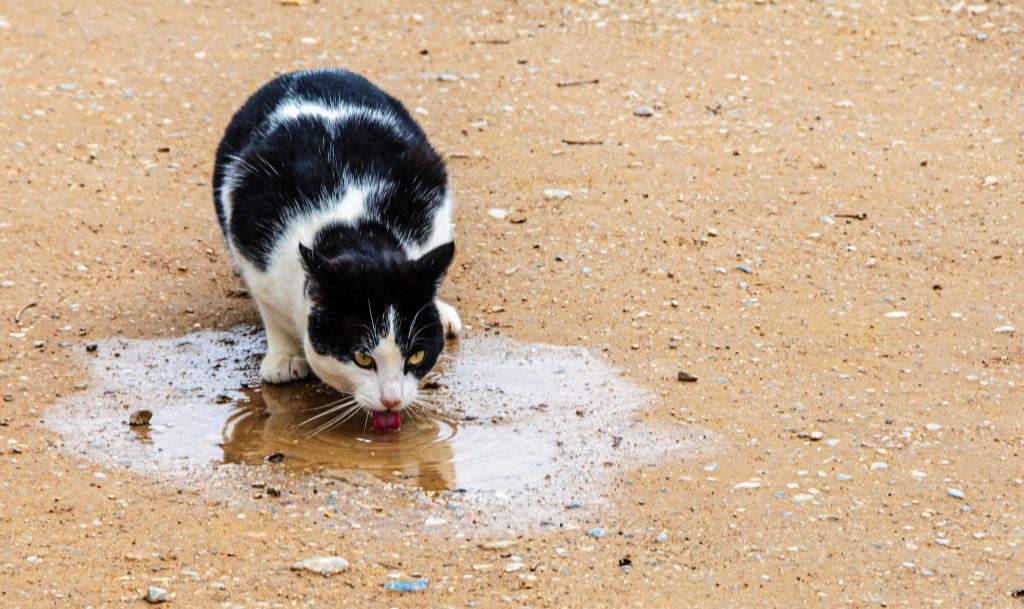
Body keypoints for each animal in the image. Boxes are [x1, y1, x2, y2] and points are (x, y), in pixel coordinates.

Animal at [211, 69, 460, 433]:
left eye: (415, 355)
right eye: (362, 358)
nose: (392, 399)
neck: (353, 227)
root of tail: (309, 71)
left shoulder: (431, 204)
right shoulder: (251, 241)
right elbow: (269, 307)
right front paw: (284, 355)